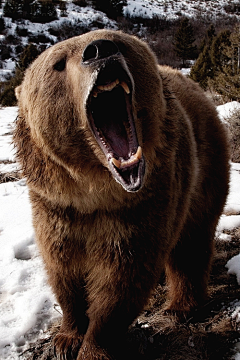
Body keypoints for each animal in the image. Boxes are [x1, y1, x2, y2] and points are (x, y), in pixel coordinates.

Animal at [14, 29, 229, 358]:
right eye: (58, 63)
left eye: (119, 42)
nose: (99, 50)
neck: (94, 192)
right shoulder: (56, 208)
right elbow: (64, 271)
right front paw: (67, 337)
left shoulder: (140, 207)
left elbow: (122, 281)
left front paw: (93, 346)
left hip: (204, 168)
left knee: (192, 242)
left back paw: (181, 307)